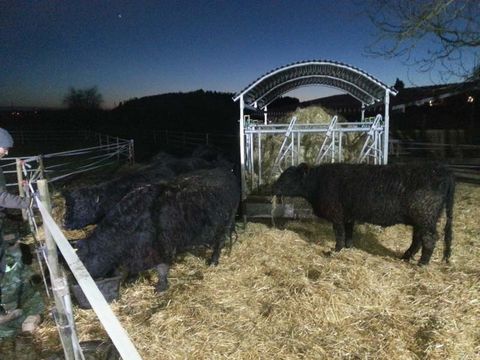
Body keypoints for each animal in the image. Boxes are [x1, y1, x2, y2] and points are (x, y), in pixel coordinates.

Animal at [76, 167, 239, 292]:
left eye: (85, 261)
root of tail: (226, 172)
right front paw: (131, 279)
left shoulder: (162, 246)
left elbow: (161, 268)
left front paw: (161, 286)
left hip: (226, 223)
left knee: (220, 242)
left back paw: (213, 261)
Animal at [274, 163, 454, 264]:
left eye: (288, 178)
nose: (272, 188)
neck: (318, 182)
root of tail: (440, 171)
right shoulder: (348, 215)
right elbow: (348, 233)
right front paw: (348, 247)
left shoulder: (337, 215)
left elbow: (339, 234)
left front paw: (335, 250)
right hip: (420, 221)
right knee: (417, 240)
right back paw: (405, 257)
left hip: (425, 218)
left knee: (429, 240)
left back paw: (422, 263)